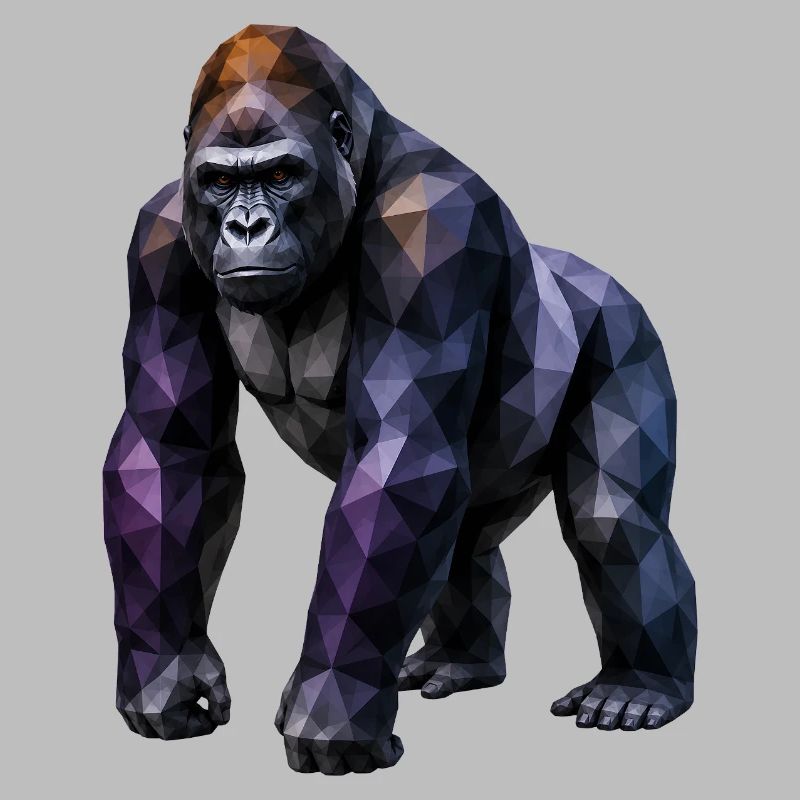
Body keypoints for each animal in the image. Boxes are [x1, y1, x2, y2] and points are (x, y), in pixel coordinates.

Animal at [103, 25, 697, 775]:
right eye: (220, 181)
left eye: (280, 176)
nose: (245, 228)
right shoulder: (156, 241)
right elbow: (169, 452)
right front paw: (167, 674)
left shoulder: (434, 226)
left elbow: (402, 457)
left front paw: (332, 711)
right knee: (465, 537)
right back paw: (461, 660)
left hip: (626, 328)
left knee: (612, 519)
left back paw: (641, 686)